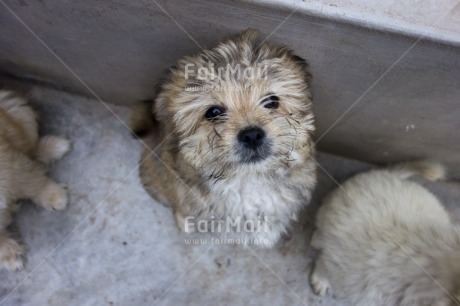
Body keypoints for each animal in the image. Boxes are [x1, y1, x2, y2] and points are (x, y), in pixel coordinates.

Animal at [0, 90, 70, 270]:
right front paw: (8, 254)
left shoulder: (10, 162)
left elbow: (30, 181)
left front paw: (52, 194)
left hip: (17, 110)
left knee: (30, 148)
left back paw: (52, 147)